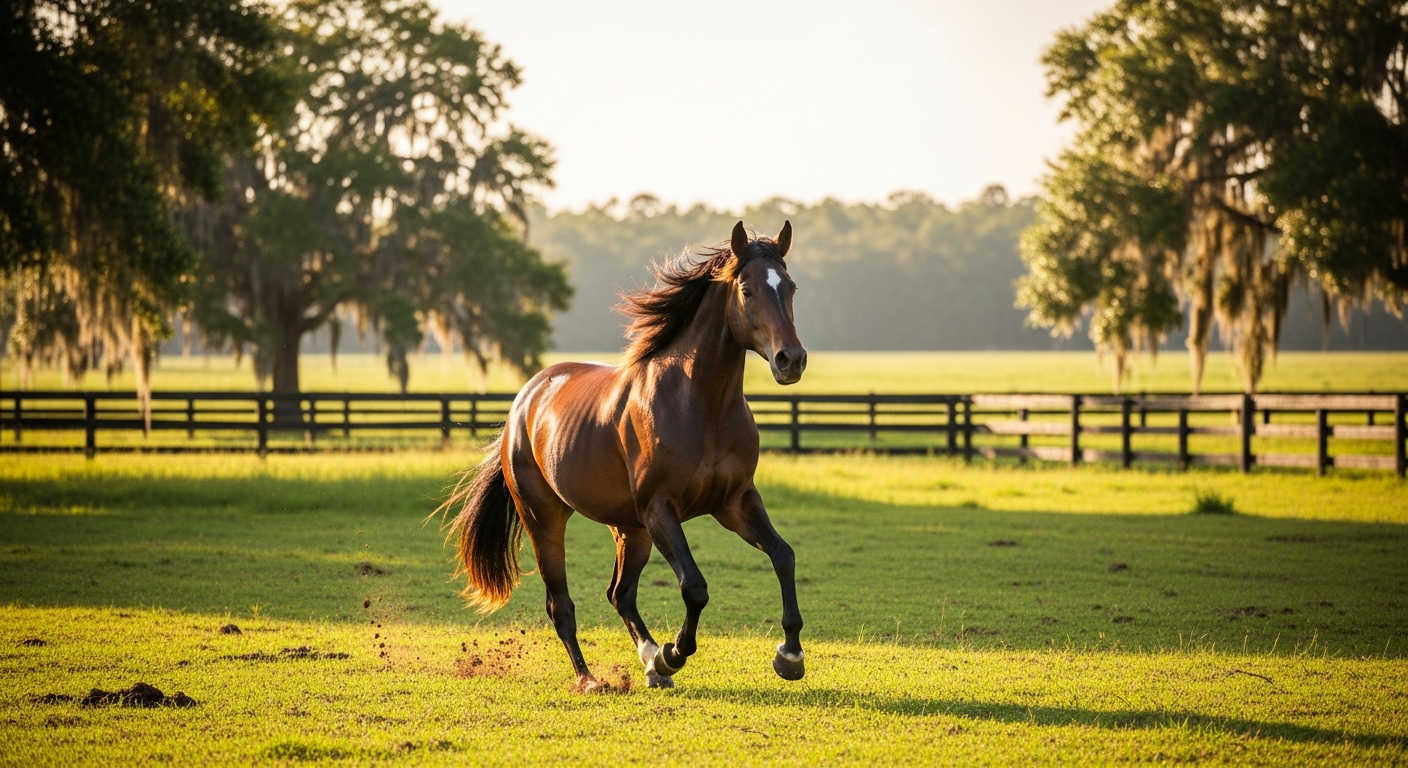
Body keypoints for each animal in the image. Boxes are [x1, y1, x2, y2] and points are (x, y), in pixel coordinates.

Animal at [439, 221, 808, 691]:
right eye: (746, 290)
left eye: (791, 287)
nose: (791, 360)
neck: (699, 404)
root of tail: (525, 400)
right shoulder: (660, 509)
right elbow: (694, 586)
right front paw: (674, 654)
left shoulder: (735, 502)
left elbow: (783, 556)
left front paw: (790, 655)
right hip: (546, 519)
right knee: (561, 606)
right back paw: (594, 677)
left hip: (630, 530)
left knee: (620, 593)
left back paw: (649, 662)